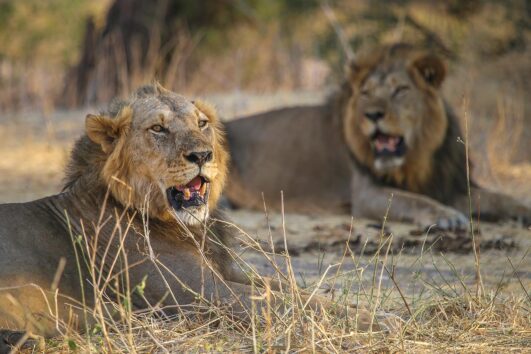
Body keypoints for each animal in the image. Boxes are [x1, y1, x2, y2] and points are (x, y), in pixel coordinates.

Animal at [0, 83, 392, 352]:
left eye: (202, 123)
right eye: (158, 129)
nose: (203, 155)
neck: (187, 227)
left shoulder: (226, 272)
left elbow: (299, 293)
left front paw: (380, 312)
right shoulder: (206, 294)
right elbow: (291, 304)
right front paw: (381, 321)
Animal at [225, 43, 531, 230]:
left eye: (400, 90)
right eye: (366, 93)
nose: (372, 115)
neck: (417, 161)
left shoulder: (448, 184)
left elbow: (500, 198)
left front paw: (524, 210)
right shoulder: (365, 193)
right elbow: (412, 200)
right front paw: (445, 216)